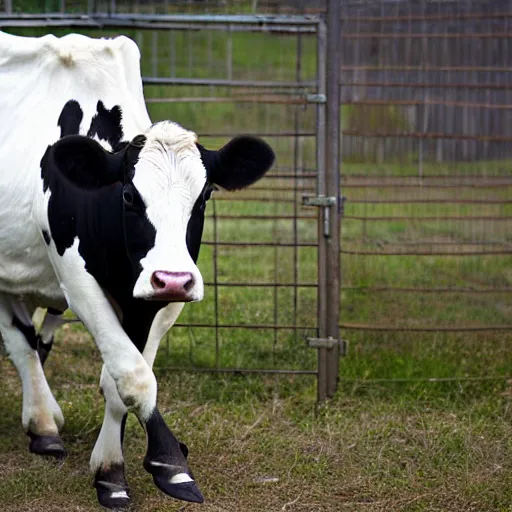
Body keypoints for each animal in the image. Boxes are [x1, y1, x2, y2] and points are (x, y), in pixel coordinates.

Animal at [0, 32, 274, 508]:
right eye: (128, 194)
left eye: (205, 195)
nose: (173, 278)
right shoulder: (79, 282)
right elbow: (133, 376)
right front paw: (165, 463)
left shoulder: (161, 300)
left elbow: (119, 378)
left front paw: (113, 468)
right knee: (21, 343)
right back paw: (43, 422)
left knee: (27, 340)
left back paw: (44, 423)